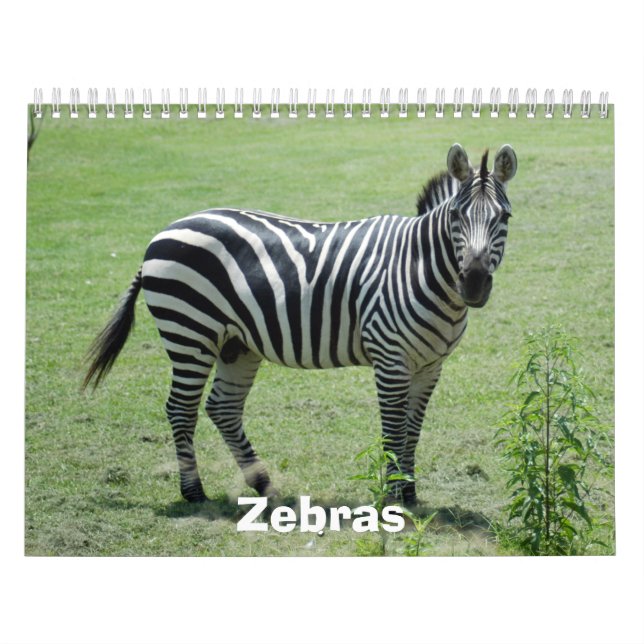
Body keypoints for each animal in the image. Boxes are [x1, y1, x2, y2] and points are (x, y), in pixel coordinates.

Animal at [84, 143, 517, 506]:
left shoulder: (430, 365)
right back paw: (194, 492)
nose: (474, 283)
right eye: (456, 216)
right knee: (181, 408)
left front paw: (408, 492)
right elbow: (394, 428)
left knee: (222, 407)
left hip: (236, 344)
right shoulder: (390, 357)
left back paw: (265, 486)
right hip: (190, 332)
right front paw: (394, 497)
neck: (416, 265)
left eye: (505, 217)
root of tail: (165, 231)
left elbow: (413, 428)